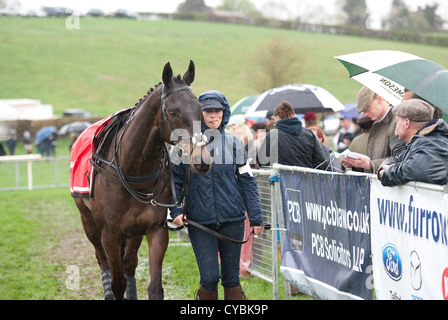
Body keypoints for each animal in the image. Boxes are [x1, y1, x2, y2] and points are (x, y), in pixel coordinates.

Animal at [74, 60, 211, 300]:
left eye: (200, 110)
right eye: (173, 111)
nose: (201, 159)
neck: (134, 171)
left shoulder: (155, 230)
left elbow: (154, 287)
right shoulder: (109, 234)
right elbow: (117, 282)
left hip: (133, 231)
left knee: (129, 262)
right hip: (88, 221)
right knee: (102, 260)